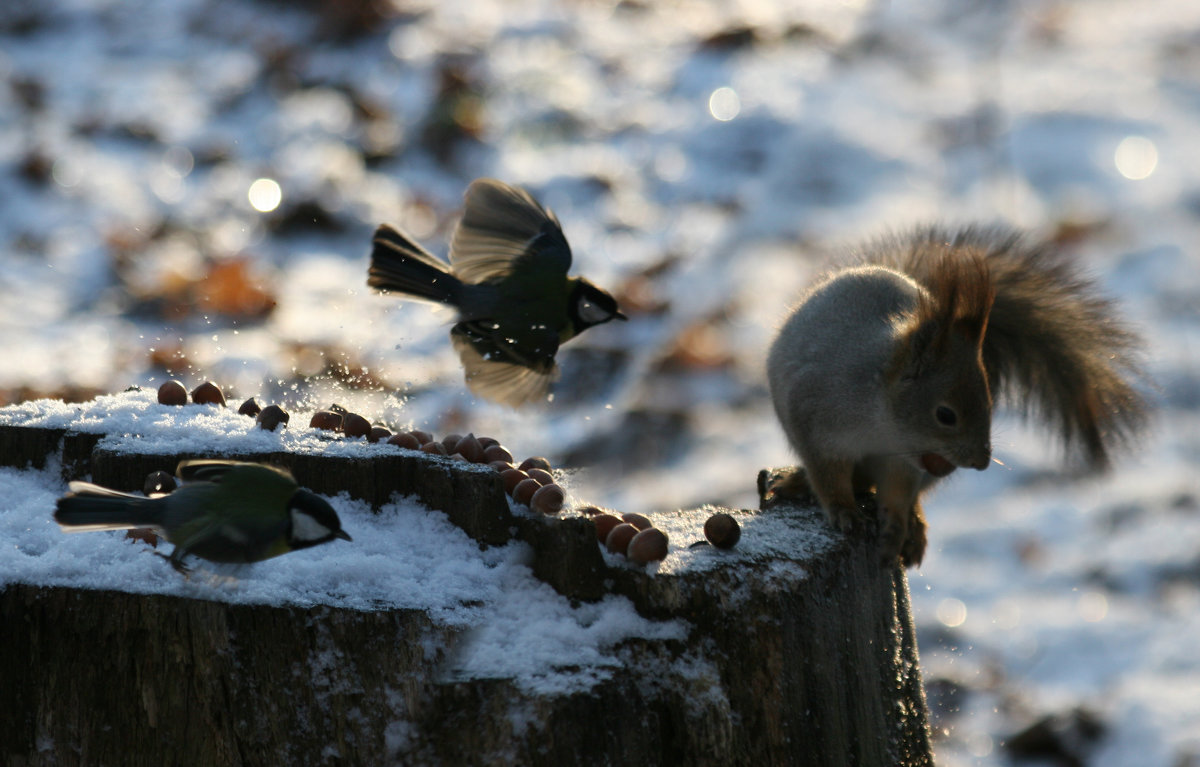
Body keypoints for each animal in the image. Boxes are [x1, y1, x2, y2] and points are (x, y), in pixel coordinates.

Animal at [763, 225, 1147, 566]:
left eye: (990, 402)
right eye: (945, 415)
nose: (981, 462)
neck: (882, 423)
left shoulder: (901, 461)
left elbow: (898, 493)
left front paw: (897, 527)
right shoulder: (816, 423)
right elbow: (828, 475)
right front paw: (843, 511)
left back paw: (914, 528)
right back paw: (797, 482)